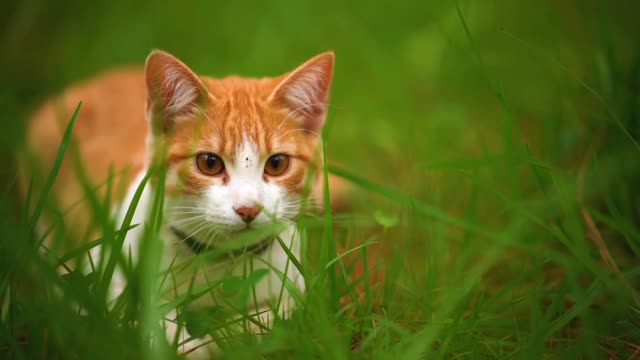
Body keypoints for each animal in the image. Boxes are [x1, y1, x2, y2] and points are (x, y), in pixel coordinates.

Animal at [21, 50, 336, 358]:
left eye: (277, 164)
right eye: (209, 163)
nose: (248, 209)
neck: (219, 261)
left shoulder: (295, 286)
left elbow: (274, 318)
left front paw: (231, 334)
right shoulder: (103, 272)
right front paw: (188, 343)